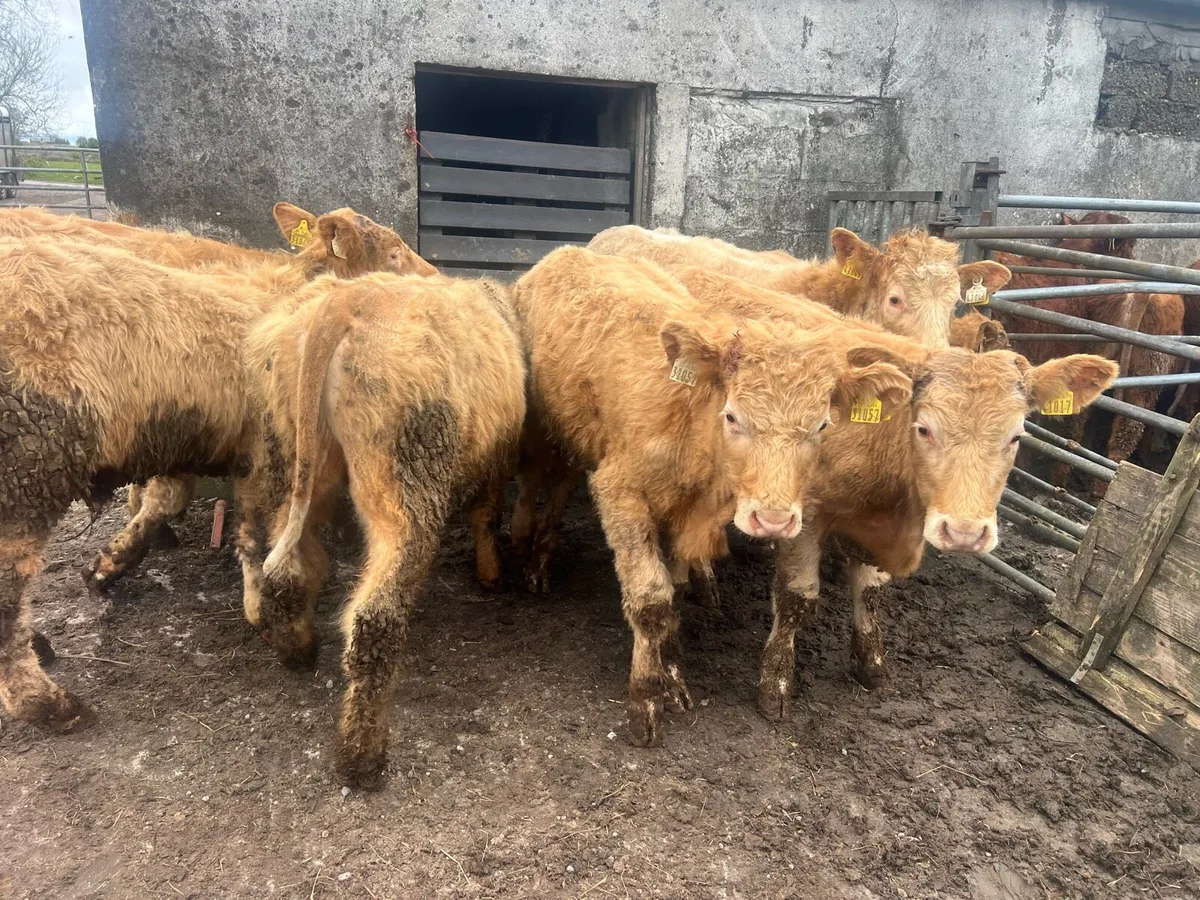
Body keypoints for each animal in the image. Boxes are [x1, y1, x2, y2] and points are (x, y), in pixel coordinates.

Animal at [0, 210, 426, 733]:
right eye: (394, 253)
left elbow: (170, 502)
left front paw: (108, 566)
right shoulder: (268, 451)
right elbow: (263, 537)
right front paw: (286, 633)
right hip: (25, 475)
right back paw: (51, 704)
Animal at [245, 274, 525, 788]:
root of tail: (343, 302)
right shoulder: (499, 459)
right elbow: (485, 515)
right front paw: (490, 574)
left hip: (298, 454)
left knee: (288, 562)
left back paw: (297, 648)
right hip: (403, 481)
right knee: (375, 620)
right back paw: (362, 757)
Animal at [509, 246, 915, 747]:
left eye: (822, 425)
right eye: (733, 416)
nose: (773, 520)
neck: (691, 419)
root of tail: (565, 252)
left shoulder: (681, 513)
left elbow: (673, 597)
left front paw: (673, 679)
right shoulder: (621, 494)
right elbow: (651, 600)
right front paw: (646, 702)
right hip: (549, 431)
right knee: (549, 485)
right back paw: (533, 561)